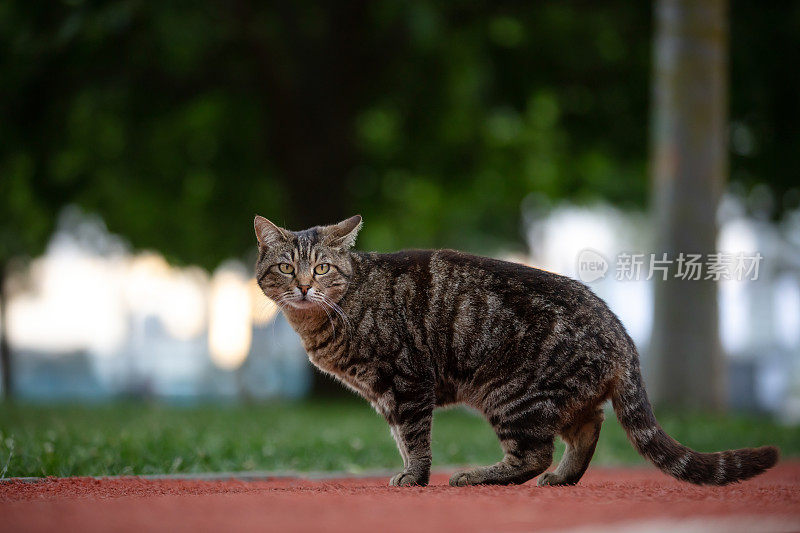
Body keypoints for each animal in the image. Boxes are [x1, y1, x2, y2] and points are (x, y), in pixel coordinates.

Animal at [253, 214, 780, 484]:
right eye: (286, 267)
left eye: (322, 268)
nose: (304, 286)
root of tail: (620, 330)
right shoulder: (387, 396)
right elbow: (402, 439)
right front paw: (408, 471)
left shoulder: (407, 383)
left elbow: (416, 440)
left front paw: (416, 478)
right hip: (556, 399)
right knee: (588, 428)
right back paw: (563, 479)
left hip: (511, 395)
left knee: (535, 454)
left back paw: (480, 476)